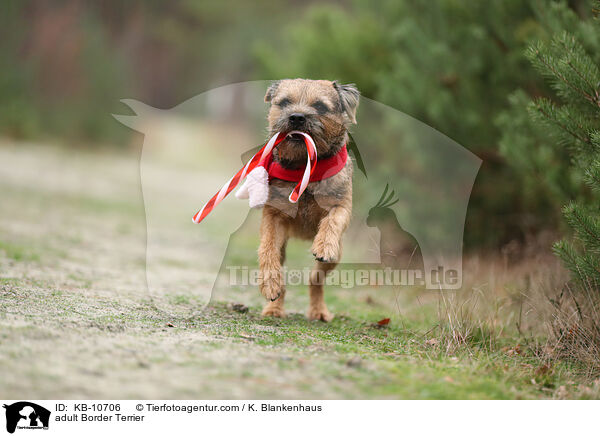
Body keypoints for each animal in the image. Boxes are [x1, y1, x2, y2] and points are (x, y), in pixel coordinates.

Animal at [256, 80, 356, 322]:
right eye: (284, 102)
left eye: (320, 106)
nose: (297, 117)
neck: (304, 168)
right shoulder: (273, 215)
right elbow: (268, 247)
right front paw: (270, 284)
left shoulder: (341, 205)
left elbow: (333, 219)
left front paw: (323, 245)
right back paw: (274, 307)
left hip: (337, 256)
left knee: (315, 280)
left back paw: (319, 310)